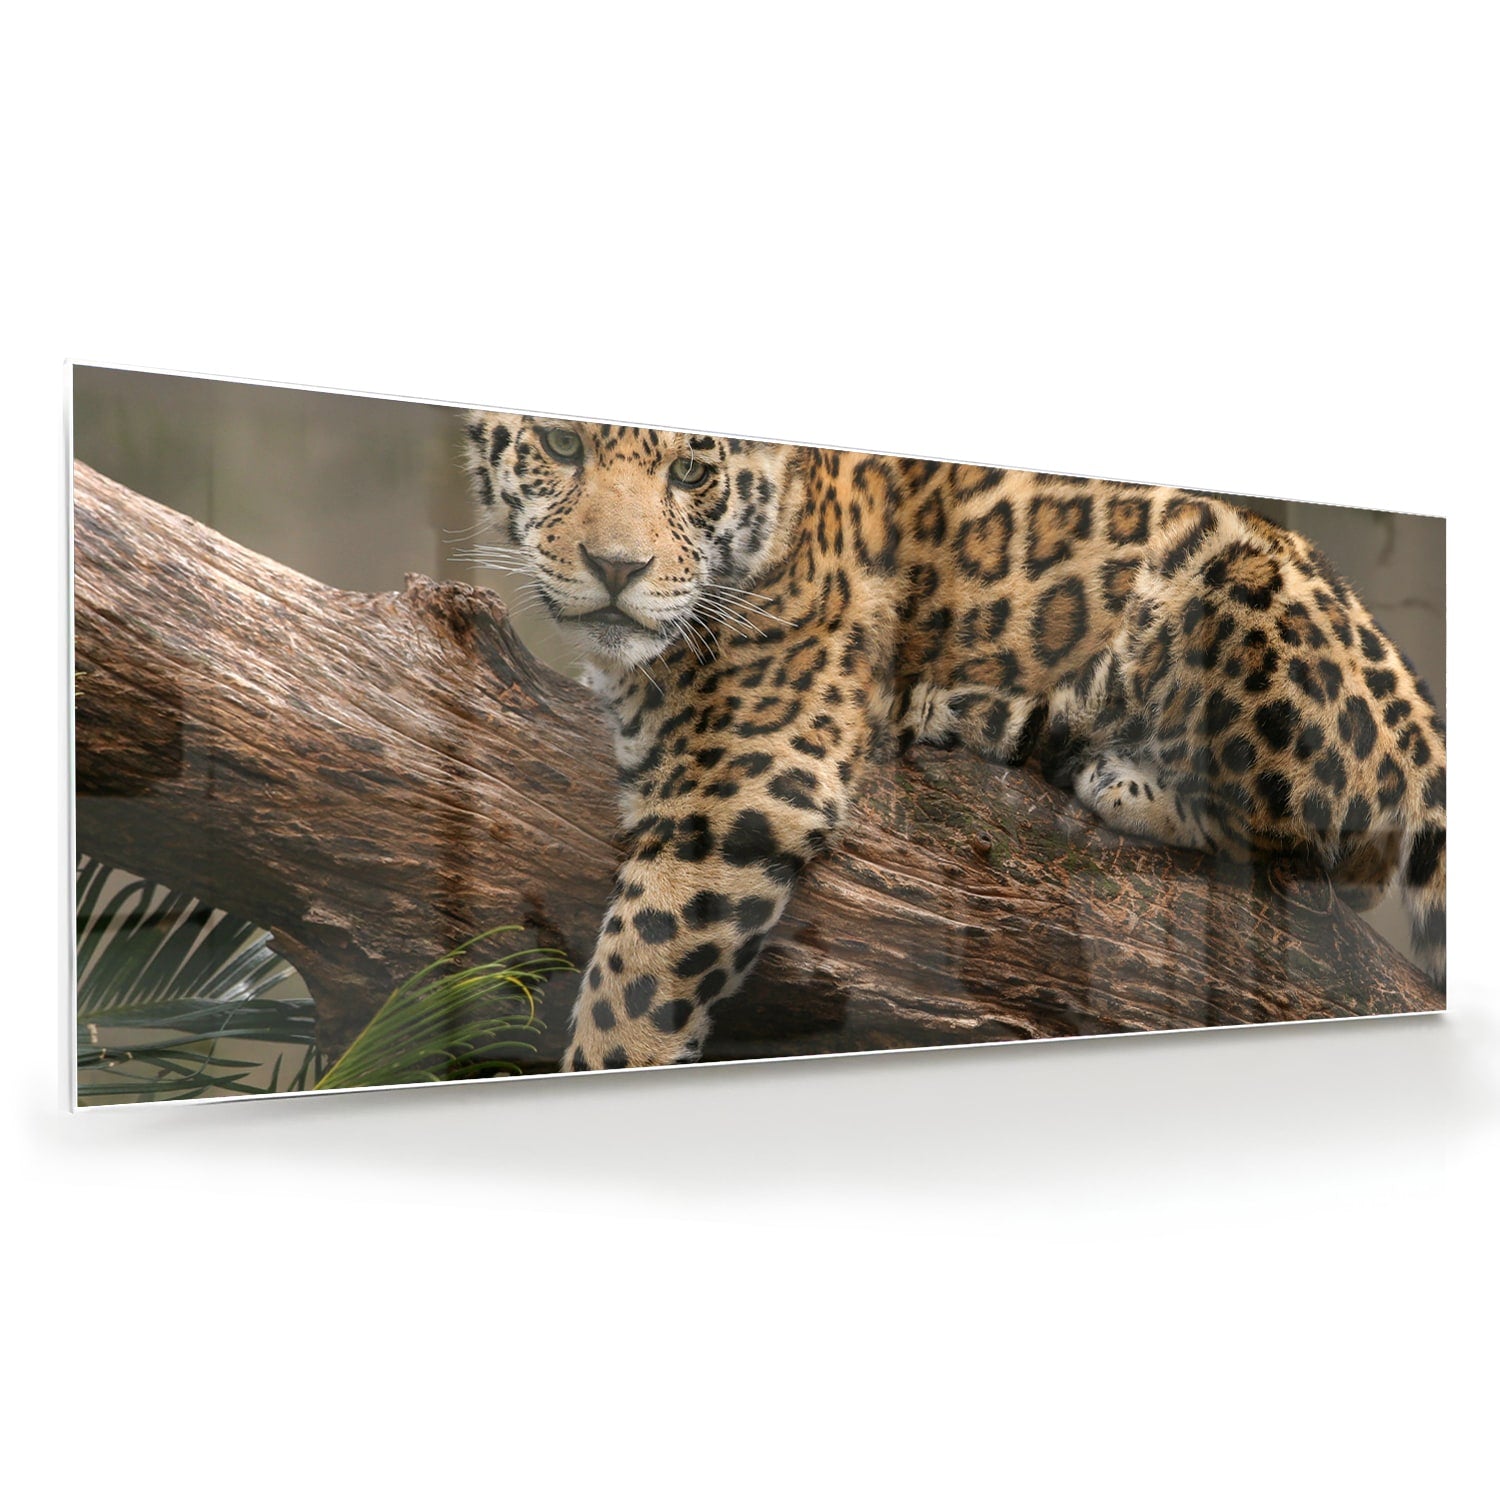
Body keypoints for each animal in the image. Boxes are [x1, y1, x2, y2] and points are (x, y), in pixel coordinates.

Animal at [462, 411, 1447, 1070]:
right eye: (561, 447)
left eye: (691, 471)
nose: (615, 569)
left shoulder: (748, 783)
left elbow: (633, 985)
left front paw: (600, 1058)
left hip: (1234, 568)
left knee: (1322, 849)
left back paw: (1107, 770)